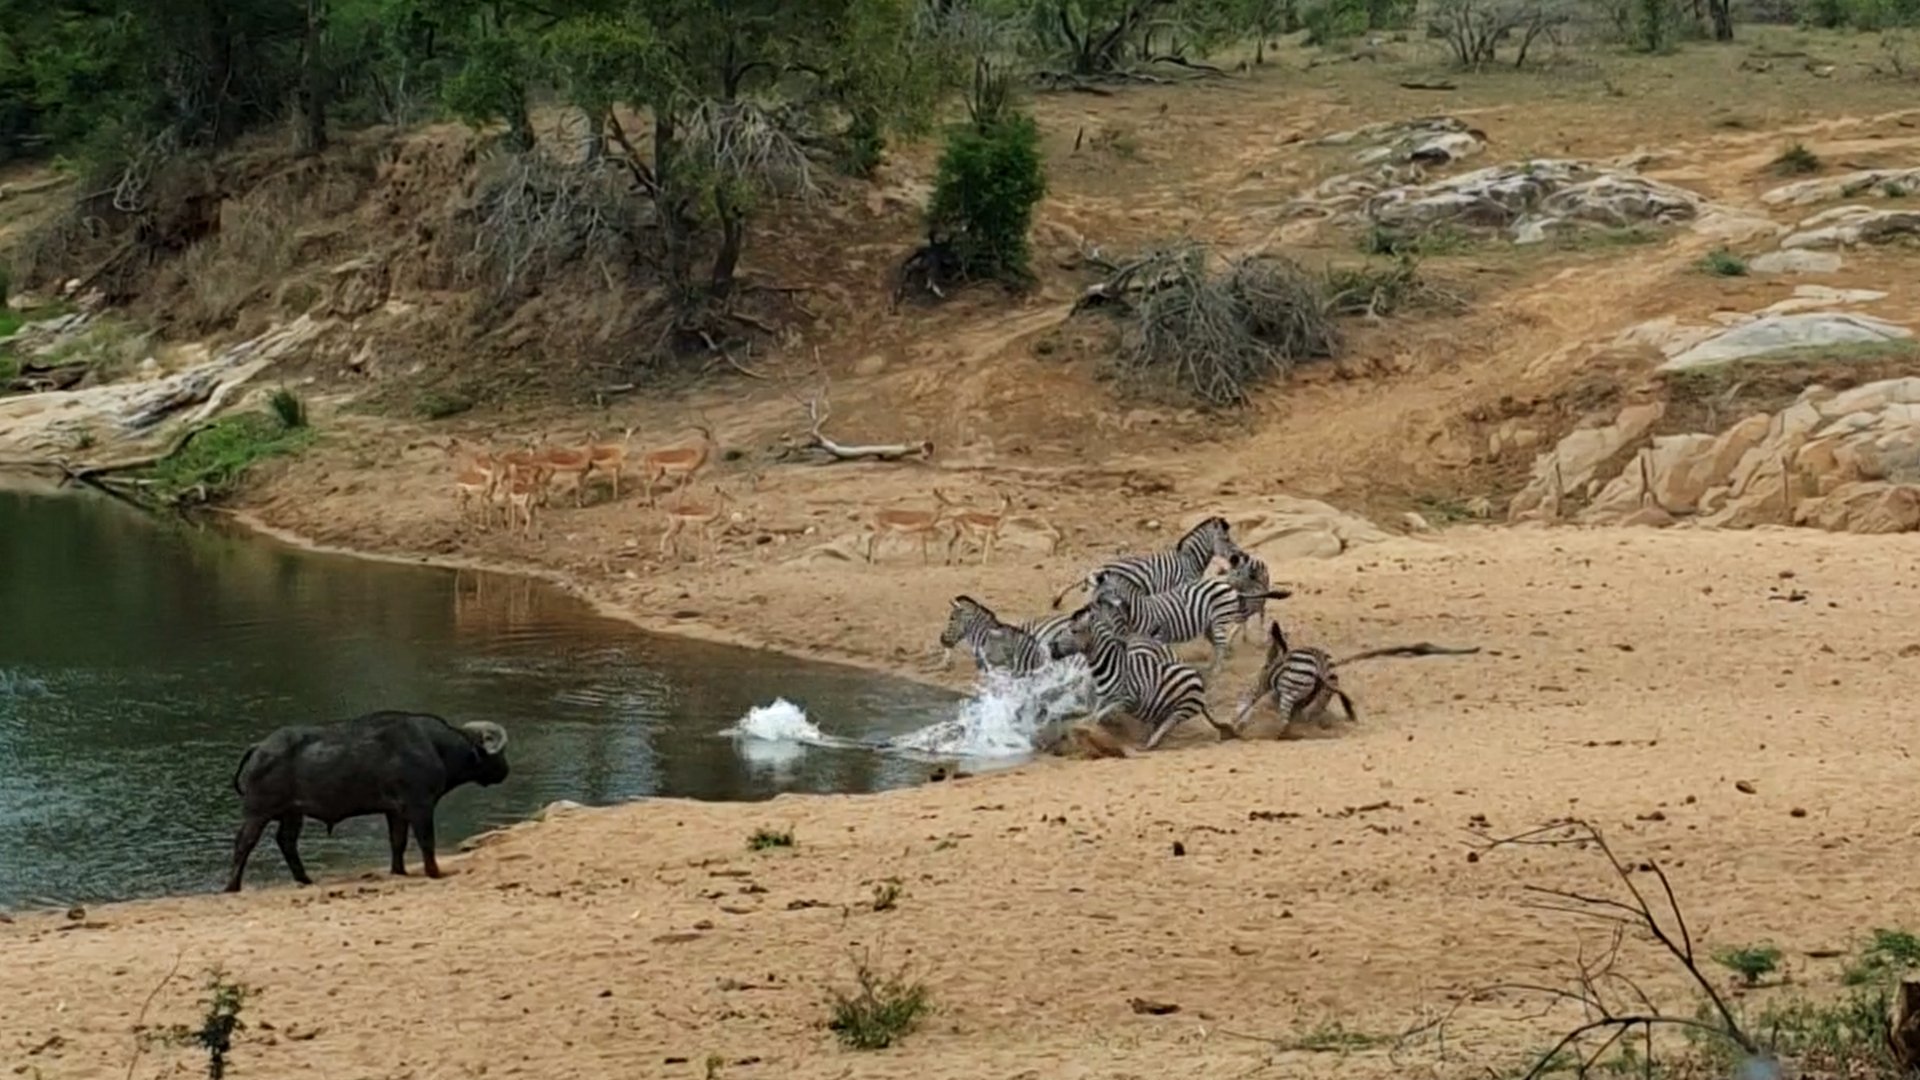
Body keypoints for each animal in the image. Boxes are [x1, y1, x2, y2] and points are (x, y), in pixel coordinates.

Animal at [1048, 603, 1224, 751]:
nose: (1051, 646)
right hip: (1169, 708)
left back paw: (1151, 743)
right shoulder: (1101, 700)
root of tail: (1196, 674)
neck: (1111, 667)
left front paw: (1087, 734)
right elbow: (1094, 715)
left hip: (1184, 708)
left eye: (1074, 631)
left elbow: (1094, 718)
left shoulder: (1126, 701)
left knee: (1170, 722)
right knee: (1163, 722)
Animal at [1093, 575, 1293, 676]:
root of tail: (1230, 587)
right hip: (1210, 624)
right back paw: (1211, 667)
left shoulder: (1157, 635)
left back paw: (1216, 671)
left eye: (1102, 597)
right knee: (1217, 643)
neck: (1135, 613)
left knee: (1221, 643)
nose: (1091, 608)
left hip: (1219, 619)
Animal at [1227, 621, 1356, 738]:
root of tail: (1320, 663)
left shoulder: (1262, 685)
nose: (1262, 643)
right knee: (1311, 713)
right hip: (1324, 692)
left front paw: (1236, 724)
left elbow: (1250, 701)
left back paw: (1275, 736)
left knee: (1284, 723)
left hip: (1289, 692)